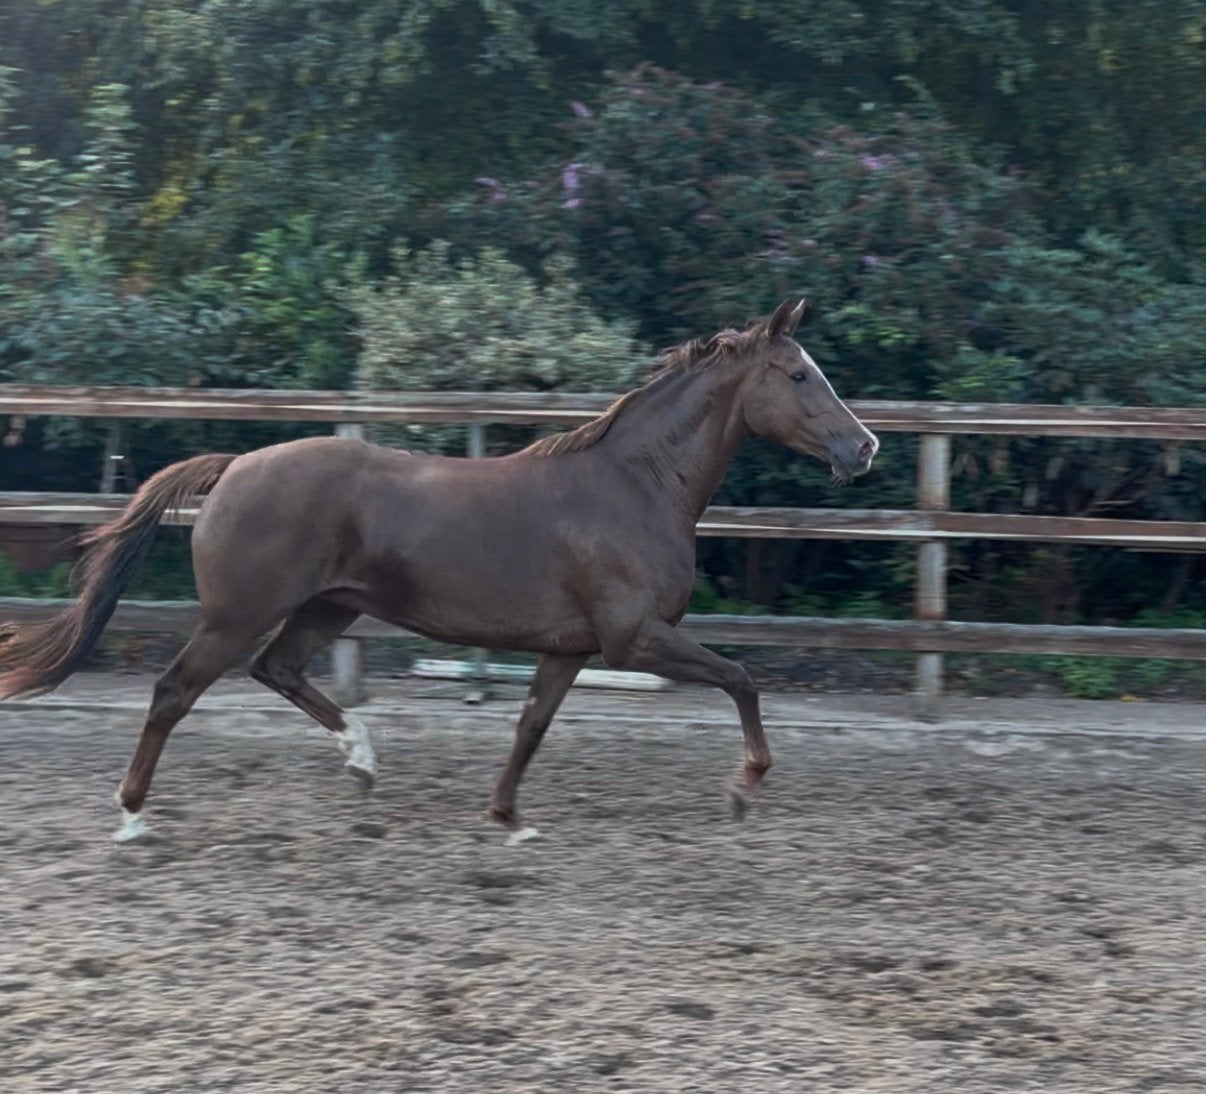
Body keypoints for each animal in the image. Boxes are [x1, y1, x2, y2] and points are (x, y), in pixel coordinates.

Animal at [0, 298, 878, 843]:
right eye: (799, 374)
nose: (864, 446)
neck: (635, 485)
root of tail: (237, 465)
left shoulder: (572, 647)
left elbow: (531, 724)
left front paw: (508, 819)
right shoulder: (636, 639)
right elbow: (742, 678)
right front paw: (744, 786)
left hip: (327, 607)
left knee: (277, 671)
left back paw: (362, 760)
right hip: (238, 614)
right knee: (174, 692)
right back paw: (133, 817)